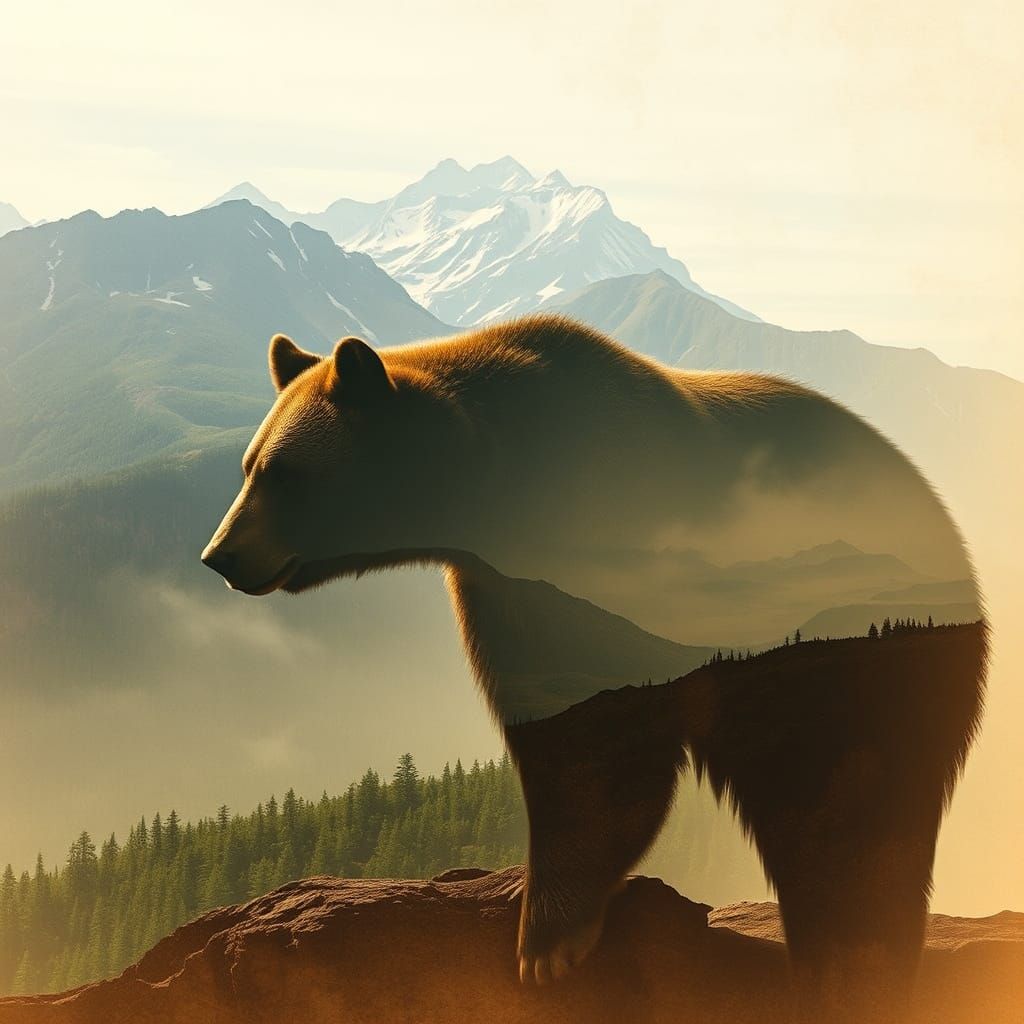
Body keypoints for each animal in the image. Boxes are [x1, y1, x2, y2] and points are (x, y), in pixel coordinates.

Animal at [202, 314, 986, 1020]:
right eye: (248, 465)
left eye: (283, 473)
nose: (220, 555)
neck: (493, 483)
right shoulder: (504, 587)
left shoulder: (603, 549)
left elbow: (597, 742)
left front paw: (545, 939)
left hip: (854, 652)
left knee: (848, 806)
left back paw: (853, 962)